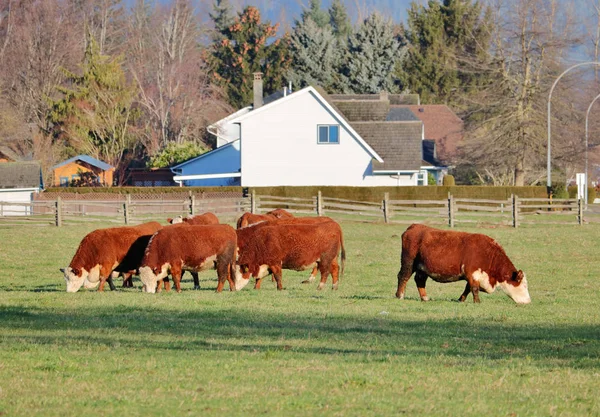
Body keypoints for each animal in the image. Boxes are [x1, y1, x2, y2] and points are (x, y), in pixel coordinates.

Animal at [398, 223, 528, 304]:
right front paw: (477, 302)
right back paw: (400, 295)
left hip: (422, 267)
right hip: (408, 262)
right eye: (524, 285)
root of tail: (414, 226)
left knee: (419, 280)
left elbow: (468, 288)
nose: (528, 301)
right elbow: (474, 288)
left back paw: (425, 298)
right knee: (403, 276)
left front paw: (461, 299)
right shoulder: (472, 273)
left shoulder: (472, 276)